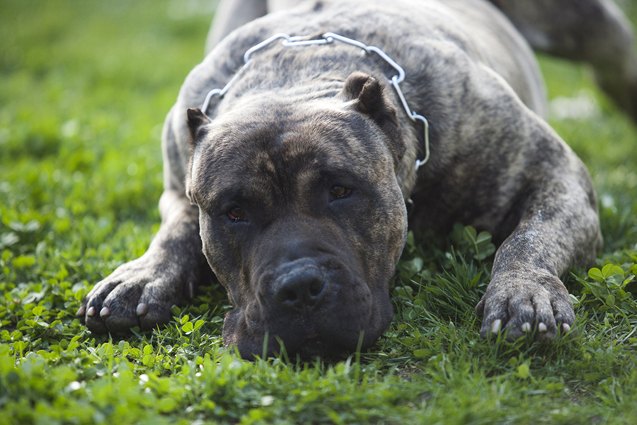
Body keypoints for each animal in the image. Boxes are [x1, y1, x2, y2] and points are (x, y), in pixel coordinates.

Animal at [77, 0, 632, 358]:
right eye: (233, 213)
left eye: (341, 191)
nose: (299, 286)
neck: (300, 75)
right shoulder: (179, 186)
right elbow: (174, 233)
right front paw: (141, 275)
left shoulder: (554, 175)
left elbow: (528, 239)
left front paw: (524, 293)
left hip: (588, 25)